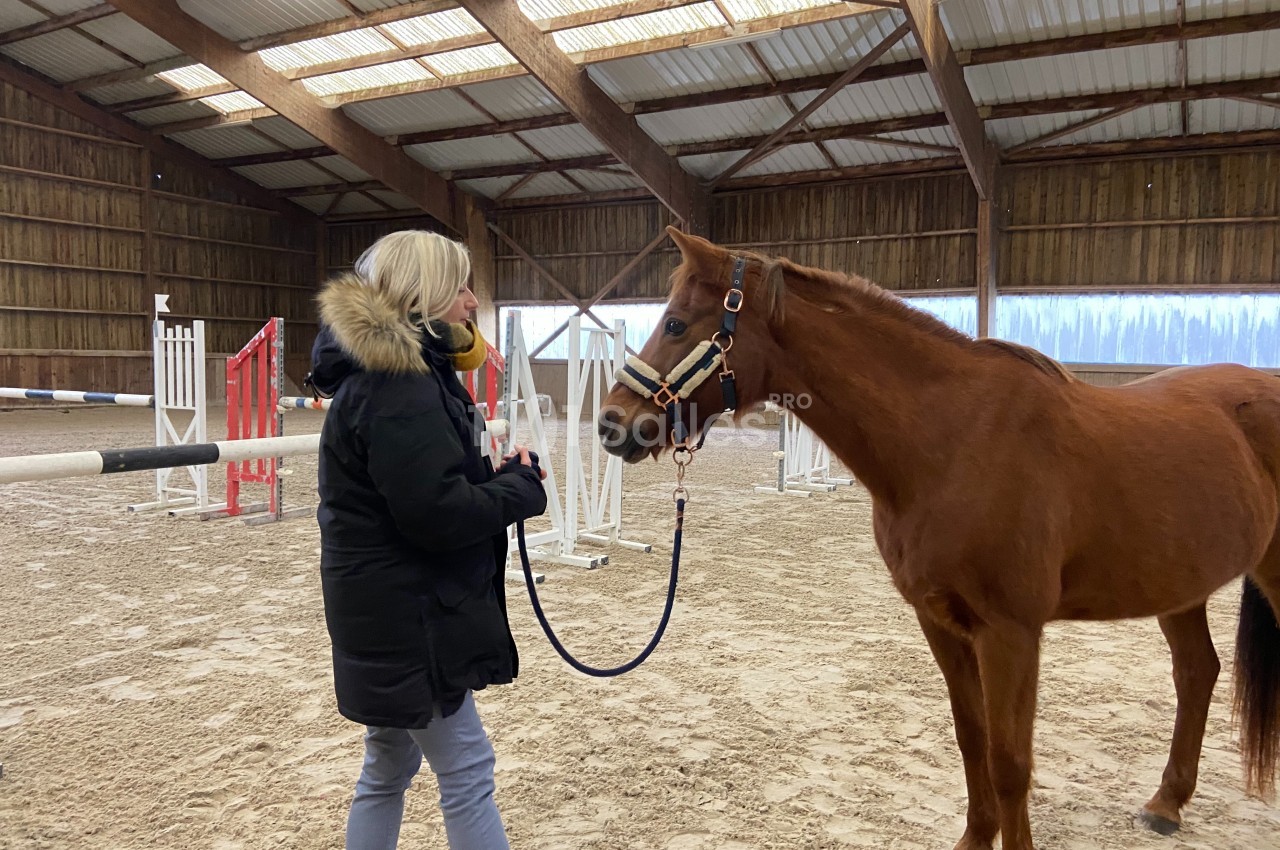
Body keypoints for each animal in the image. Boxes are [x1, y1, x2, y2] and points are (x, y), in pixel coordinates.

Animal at [597, 226, 1280, 850]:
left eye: (677, 323)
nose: (612, 424)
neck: (954, 439)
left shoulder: (1011, 632)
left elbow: (1010, 762)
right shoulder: (941, 623)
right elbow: (971, 740)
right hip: (1179, 587)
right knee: (1197, 672)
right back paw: (1167, 803)